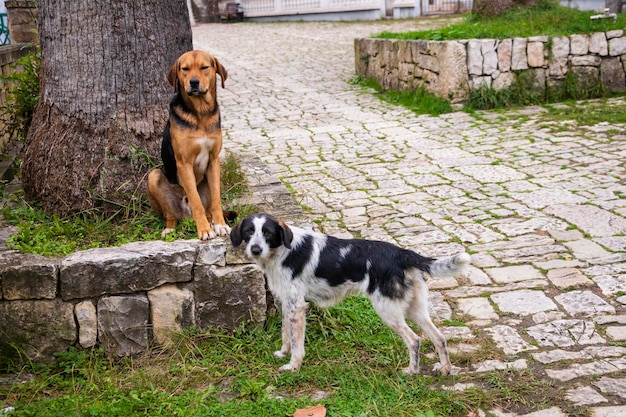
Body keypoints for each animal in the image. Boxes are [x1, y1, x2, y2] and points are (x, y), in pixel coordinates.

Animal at [147, 50, 230, 239]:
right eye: (185, 69)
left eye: (204, 67)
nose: (193, 82)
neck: (200, 113)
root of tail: (186, 215)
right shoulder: (184, 163)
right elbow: (196, 201)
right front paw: (204, 230)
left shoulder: (214, 160)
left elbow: (216, 200)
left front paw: (220, 225)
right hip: (153, 176)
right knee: (171, 215)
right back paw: (170, 229)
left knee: (208, 209)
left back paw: (212, 221)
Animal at [229, 213, 468, 376]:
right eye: (249, 232)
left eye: (267, 233)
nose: (255, 249)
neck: (283, 251)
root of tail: (402, 253)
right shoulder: (287, 305)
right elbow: (286, 335)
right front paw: (283, 353)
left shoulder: (297, 307)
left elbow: (297, 345)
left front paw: (293, 366)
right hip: (415, 309)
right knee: (439, 337)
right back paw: (445, 368)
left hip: (388, 310)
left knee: (415, 340)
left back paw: (411, 371)